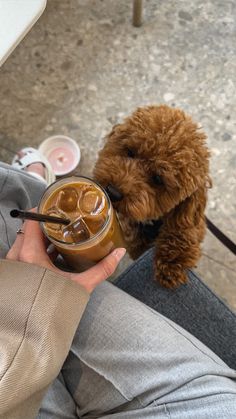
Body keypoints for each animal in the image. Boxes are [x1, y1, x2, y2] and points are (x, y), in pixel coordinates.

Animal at [93, 105, 211, 288]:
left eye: (157, 179)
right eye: (130, 152)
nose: (112, 191)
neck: (152, 221)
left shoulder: (190, 219)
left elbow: (183, 231)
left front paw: (172, 262)